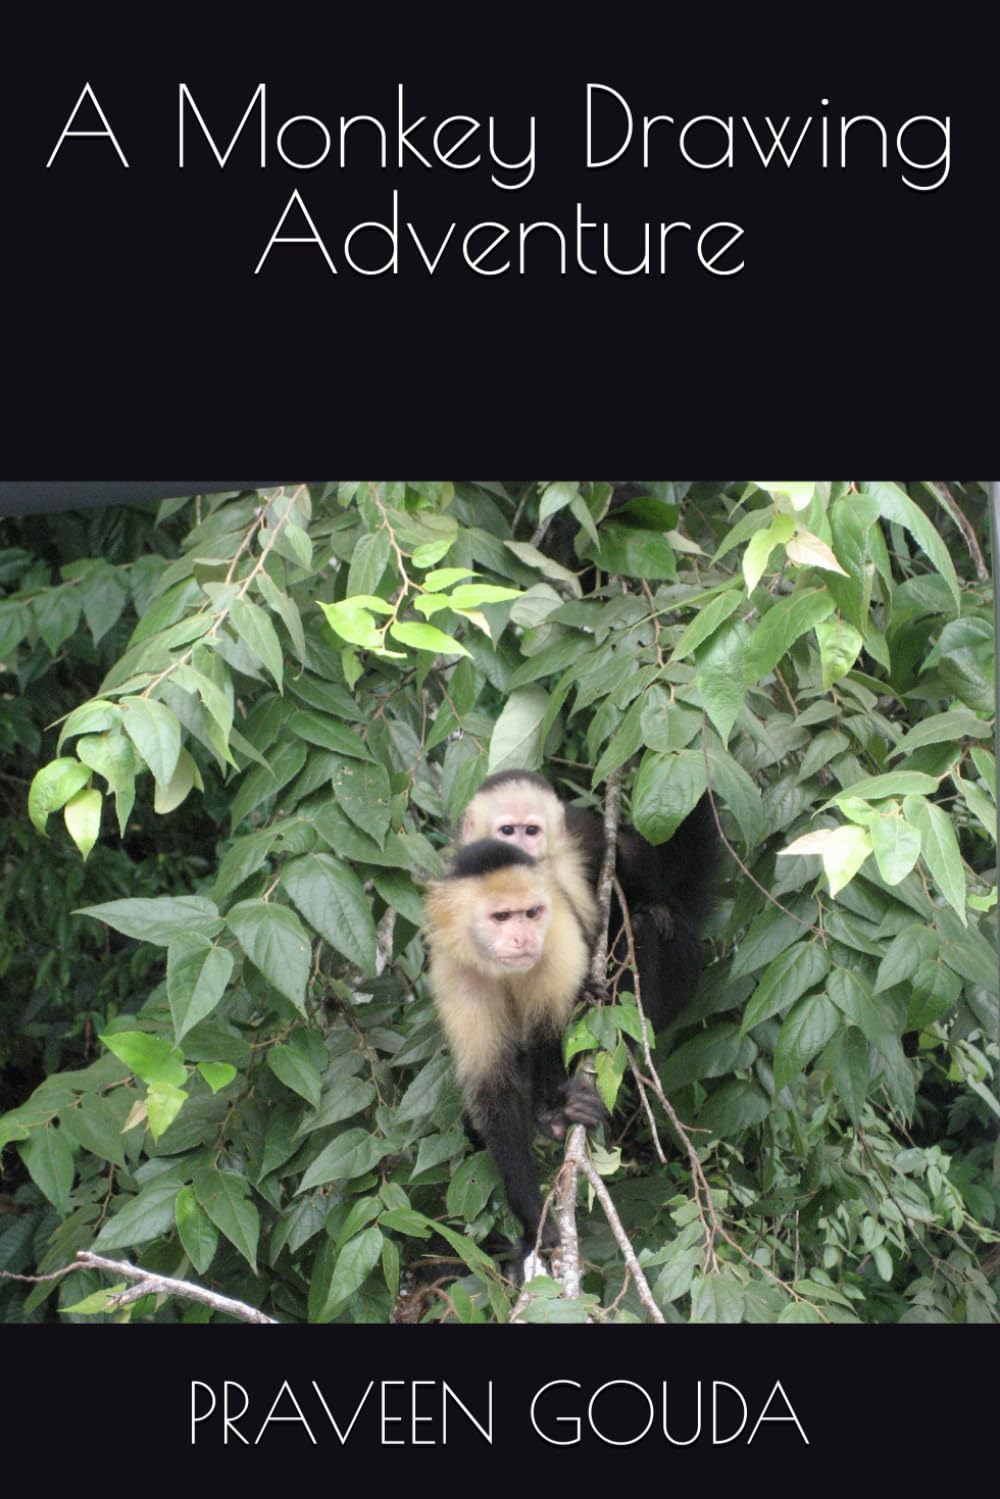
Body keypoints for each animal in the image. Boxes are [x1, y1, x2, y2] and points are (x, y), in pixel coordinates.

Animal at [424, 839, 607, 1255]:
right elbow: (491, 1090)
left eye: (531, 913)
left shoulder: (556, 942)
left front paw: (553, 1112)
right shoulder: (458, 978)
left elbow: (546, 1033)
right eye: (502, 916)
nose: (524, 938)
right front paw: (532, 1215)